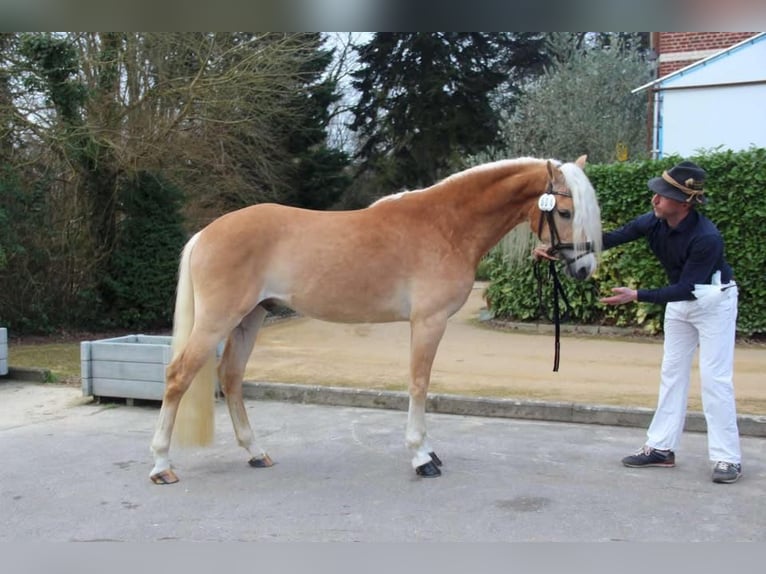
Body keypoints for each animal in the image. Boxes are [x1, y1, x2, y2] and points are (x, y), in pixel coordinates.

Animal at [150, 155, 604, 484]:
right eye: (565, 212)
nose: (584, 269)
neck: (447, 225)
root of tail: (206, 233)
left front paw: (428, 451)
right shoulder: (428, 322)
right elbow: (419, 384)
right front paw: (422, 457)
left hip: (249, 318)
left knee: (230, 377)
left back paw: (256, 452)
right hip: (218, 320)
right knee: (178, 376)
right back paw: (161, 466)